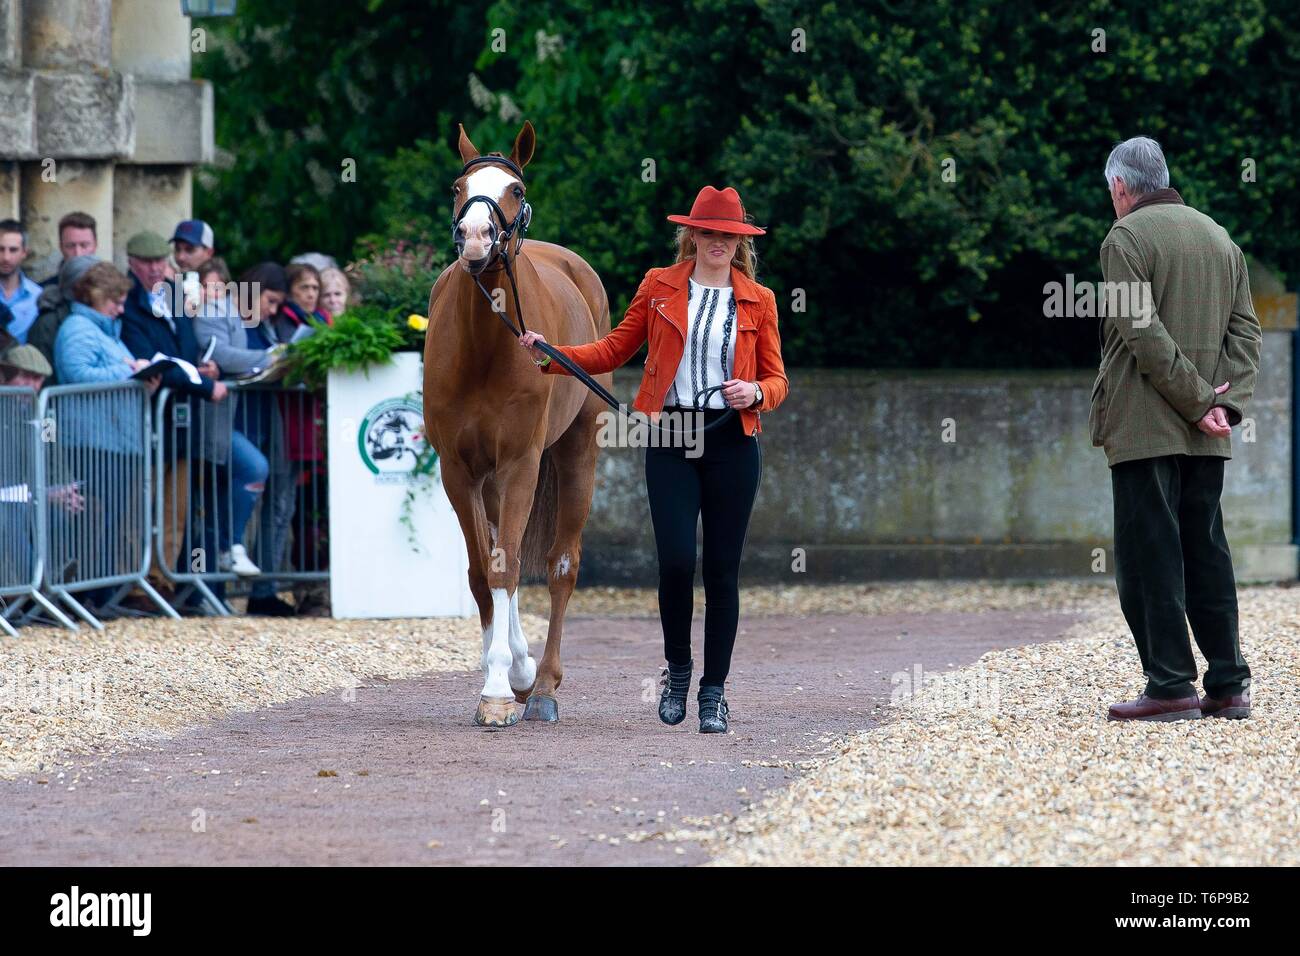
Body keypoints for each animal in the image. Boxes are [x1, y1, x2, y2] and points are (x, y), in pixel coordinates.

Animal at [422, 121, 611, 727]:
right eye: (458, 186)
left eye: (516, 190)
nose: (477, 237)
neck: (486, 344)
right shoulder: (460, 472)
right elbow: (484, 572)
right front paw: (500, 675)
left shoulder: (521, 463)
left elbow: (508, 568)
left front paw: (504, 690)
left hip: (576, 454)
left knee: (561, 565)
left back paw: (544, 684)